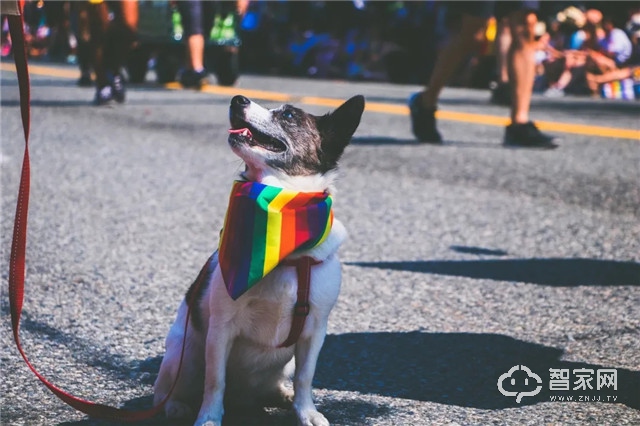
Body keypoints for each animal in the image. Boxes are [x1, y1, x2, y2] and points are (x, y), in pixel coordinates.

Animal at [152, 94, 364, 426]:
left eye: (288, 115)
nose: (237, 99)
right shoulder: (220, 330)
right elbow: (215, 380)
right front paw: (209, 417)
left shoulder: (314, 332)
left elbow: (306, 377)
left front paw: (306, 411)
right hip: (183, 355)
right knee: (165, 391)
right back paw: (175, 406)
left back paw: (282, 395)